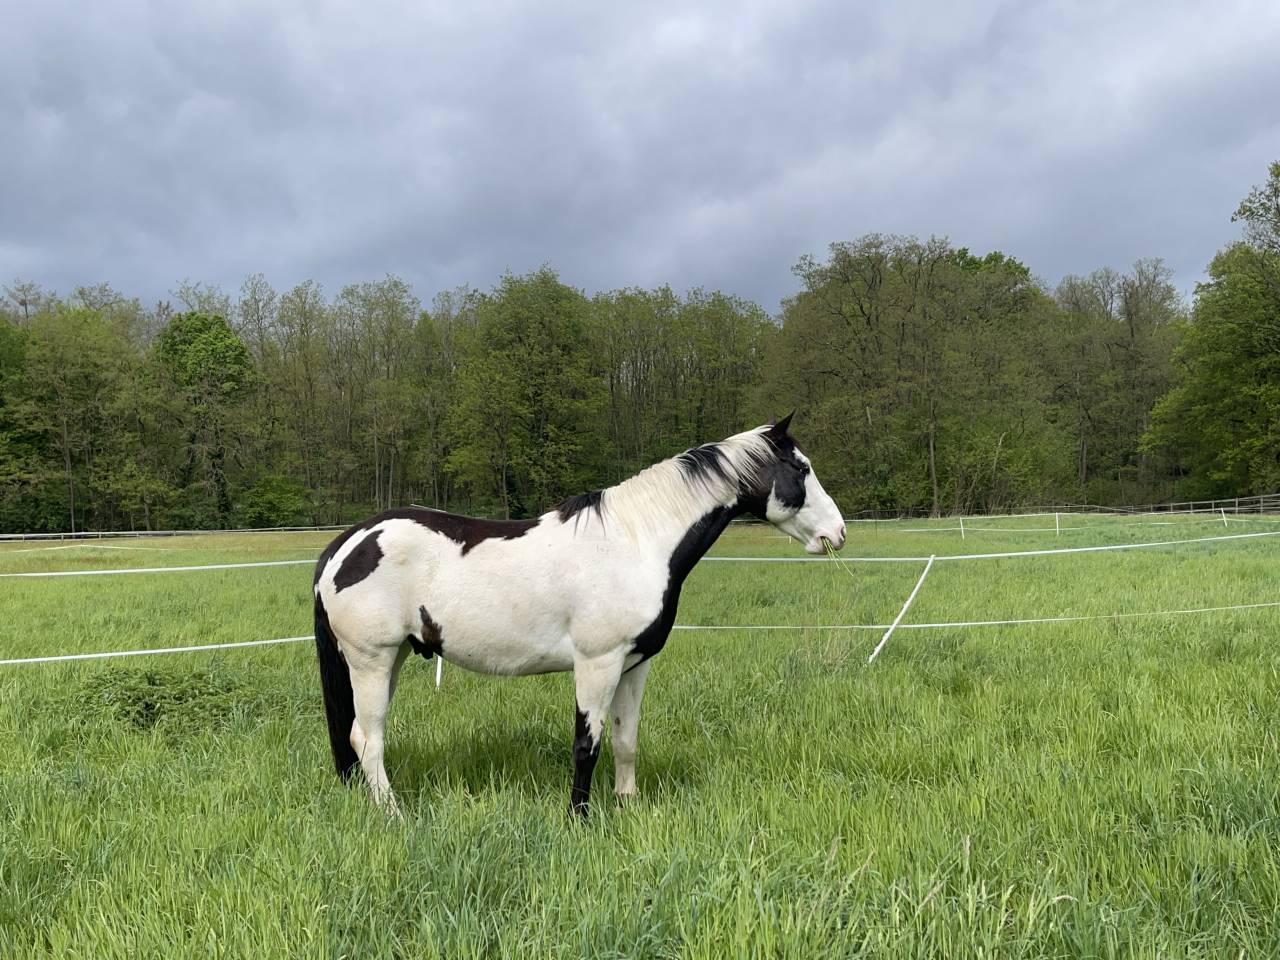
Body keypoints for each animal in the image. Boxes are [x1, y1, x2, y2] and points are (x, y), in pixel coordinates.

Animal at [312, 414, 846, 817]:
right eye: (801, 468)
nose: (837, 533)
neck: (635, 543)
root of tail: (346, 544)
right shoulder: (597, 663)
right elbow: (586, 745)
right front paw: (579, 818)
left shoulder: (635, 665)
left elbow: (625, 741)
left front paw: (627, 807)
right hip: (371, 660)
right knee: (368, 738)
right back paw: (394, 815)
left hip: (395, 659)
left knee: (359, 736)